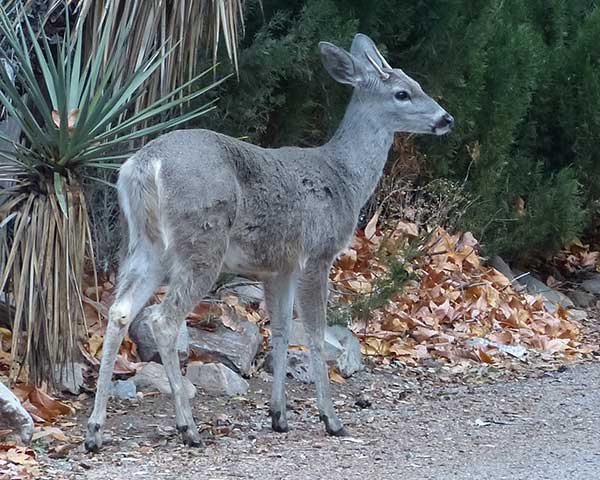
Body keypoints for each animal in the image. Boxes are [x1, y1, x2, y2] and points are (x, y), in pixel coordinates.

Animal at [83, 31, 450, 452]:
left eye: (418, 85)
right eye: (402, 93)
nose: (446, 118)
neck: (344, 179)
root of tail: (143, 166)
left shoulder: (279, 267)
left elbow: (281, 331)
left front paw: (279, 417)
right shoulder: (316, 254)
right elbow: (316, 334)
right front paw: (331, 419)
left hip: (146, 244)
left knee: (120, 311)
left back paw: (95, 431)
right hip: (202, 240)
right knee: (163, 319)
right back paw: (188, 428)